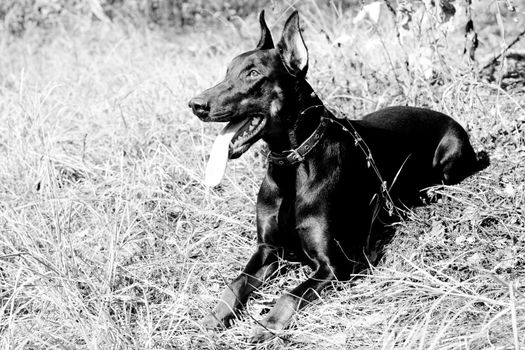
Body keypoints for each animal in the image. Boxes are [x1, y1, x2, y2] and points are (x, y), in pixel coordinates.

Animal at [187, 10, 488, 342]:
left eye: (253, 74)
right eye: (227, 71)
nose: (196, 105)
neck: (293, 167)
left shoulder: (335, 264)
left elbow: (289, 295)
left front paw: (267, 325)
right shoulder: (269, 249)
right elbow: (235, 282)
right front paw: (213, 317)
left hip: (451, 155)